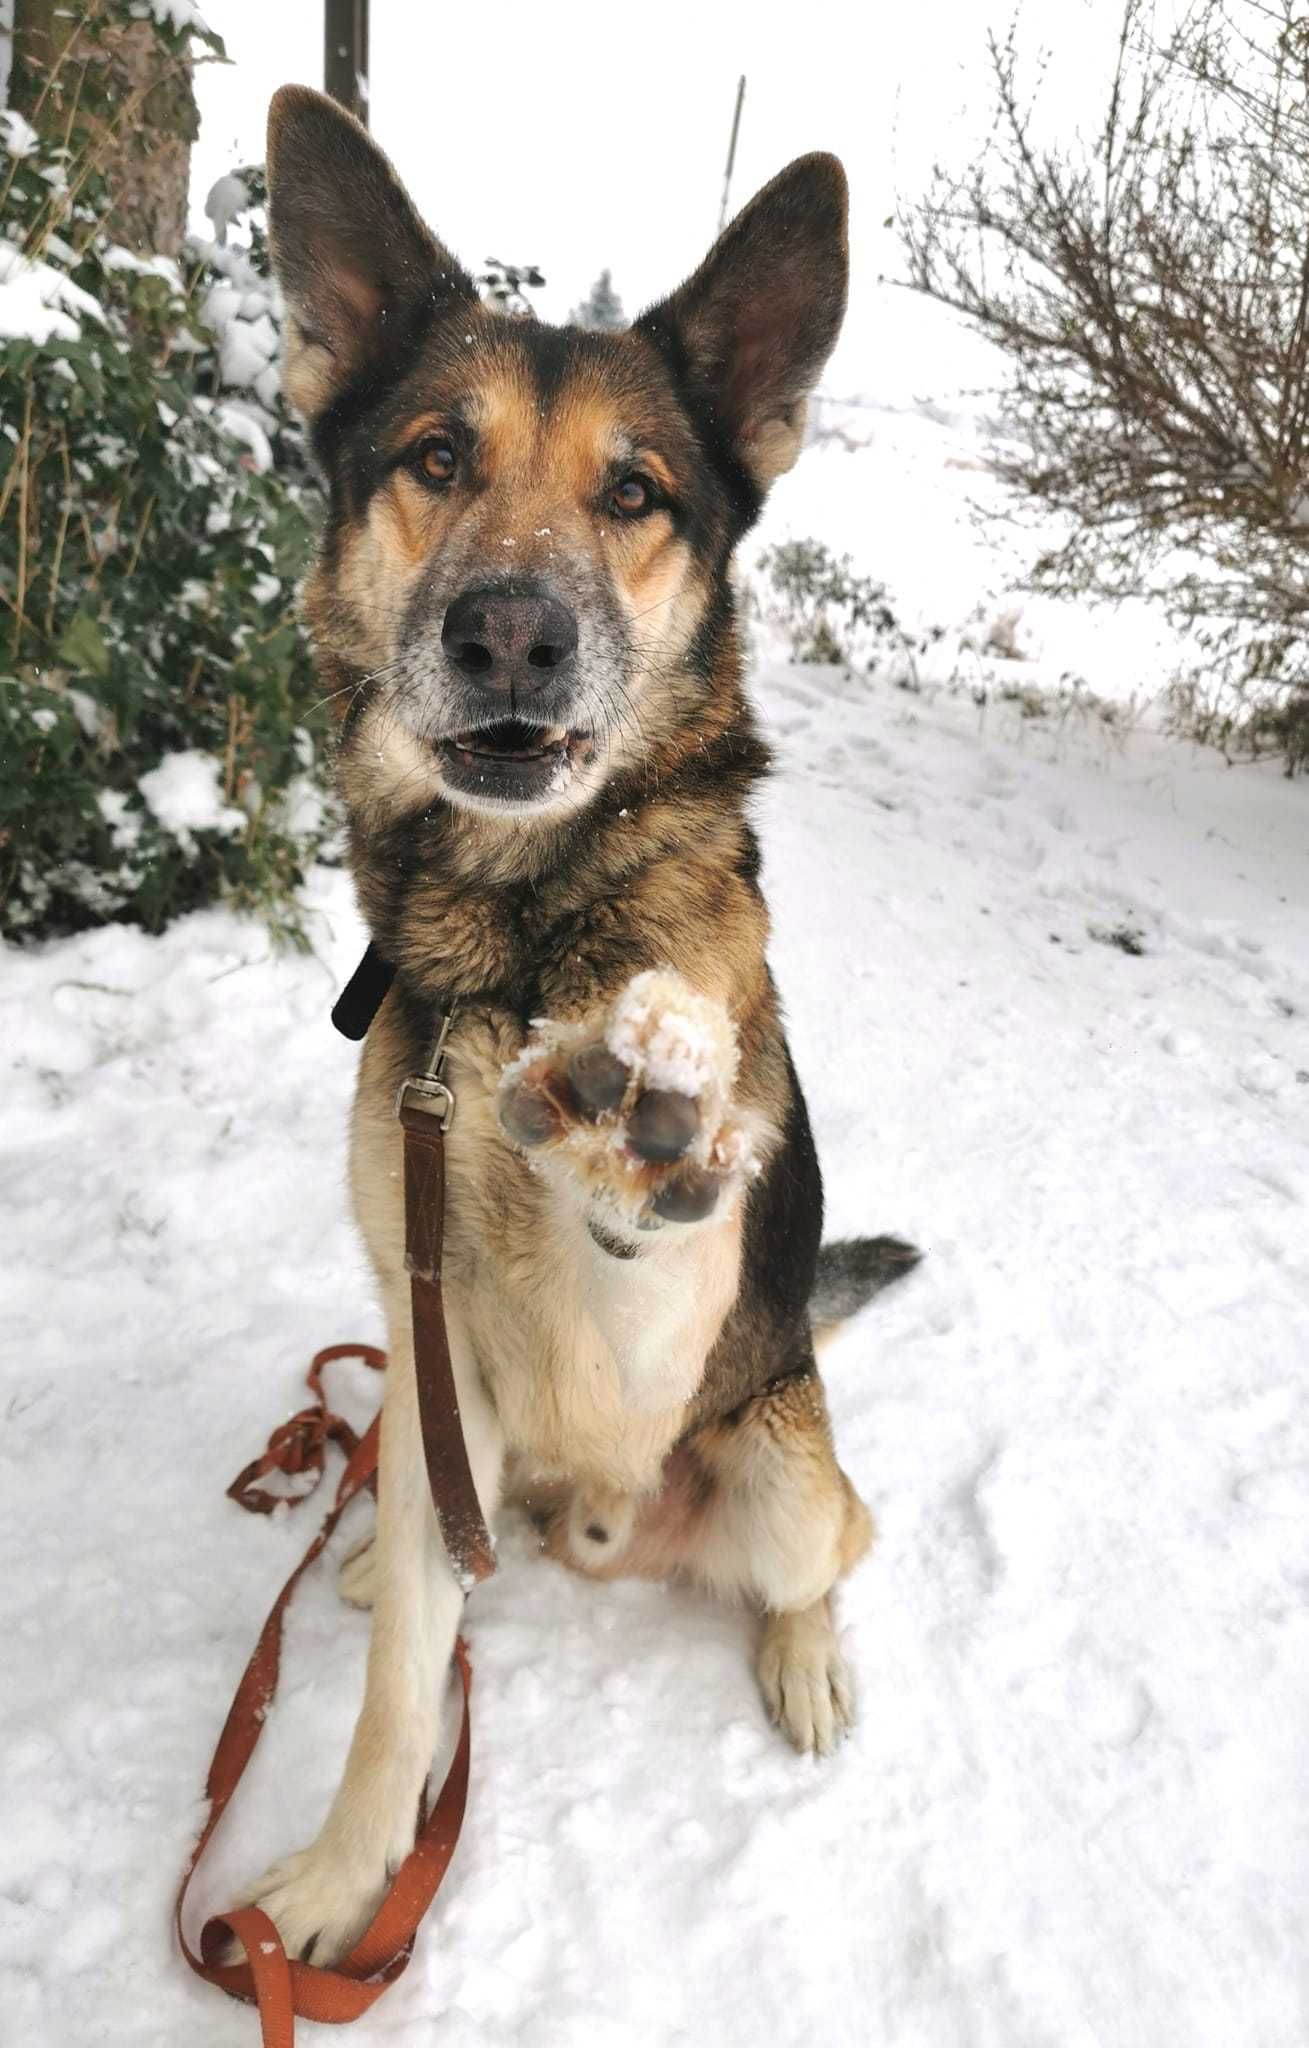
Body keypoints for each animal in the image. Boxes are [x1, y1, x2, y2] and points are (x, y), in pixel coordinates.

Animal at [237, 88, 921, 1957]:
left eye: (633, 492)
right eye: (434, 460)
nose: (510, 634)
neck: (511, 942)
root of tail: (604, 1528)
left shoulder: (644, 1354)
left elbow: (629, 1235)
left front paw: (635, 1122)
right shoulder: (428, 1330)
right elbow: (401, 1680)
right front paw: (342, 1874)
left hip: (771, 1456)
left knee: (835, 1544)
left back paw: (806, 1655)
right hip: (437, 1417)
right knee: (428, 1513)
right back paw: (357, 1549)